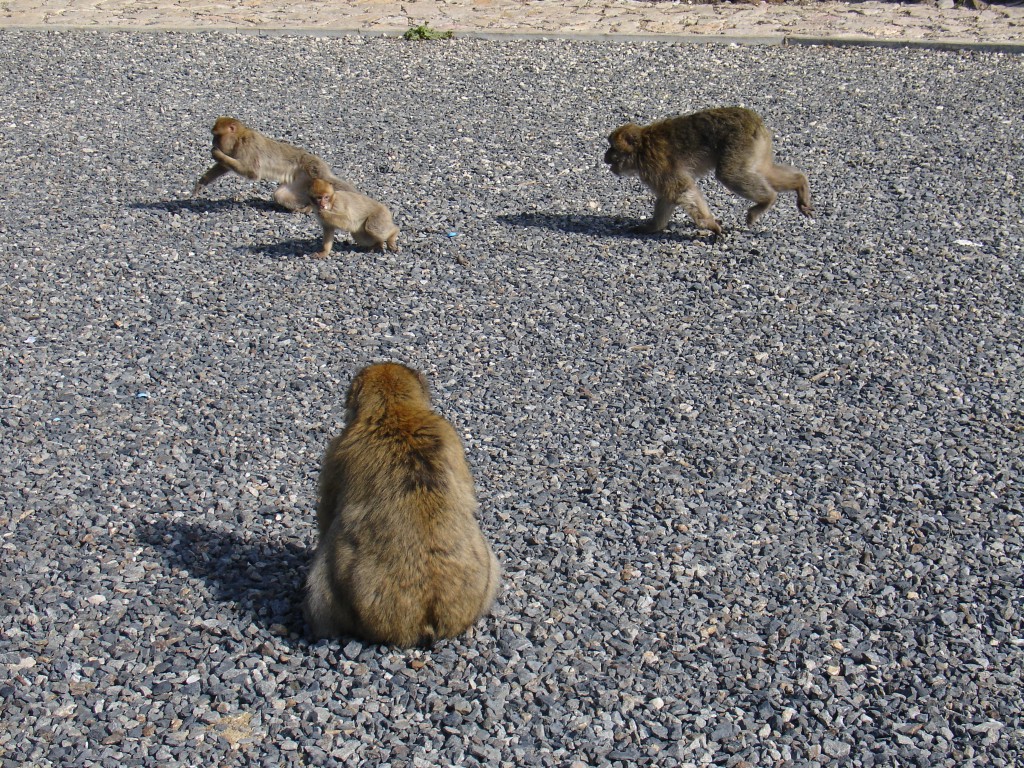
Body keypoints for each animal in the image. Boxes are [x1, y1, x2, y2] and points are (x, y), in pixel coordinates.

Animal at [192, 114, 356, 211]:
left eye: (217, 136)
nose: (213, 141)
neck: (239, 137)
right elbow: (225, 167)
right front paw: (202, 181)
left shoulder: (248, 146)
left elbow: (252, 172)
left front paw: (216, 153)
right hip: (301, 181)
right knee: (280, 195)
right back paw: (307, 206)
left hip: (313, 167)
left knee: (329, 180)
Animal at [602, 105, 811, 237]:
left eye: (613, 148)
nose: (605, 155)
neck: (641, 148)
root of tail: (753, 120)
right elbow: (669, 195)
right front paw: (654, 227)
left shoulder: (655, 165)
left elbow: (680, 189)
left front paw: (709, 224)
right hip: (757, 147)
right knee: (764, 171)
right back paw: (800, 183)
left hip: (738, 144)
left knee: (729, 174)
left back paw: (767, 200)